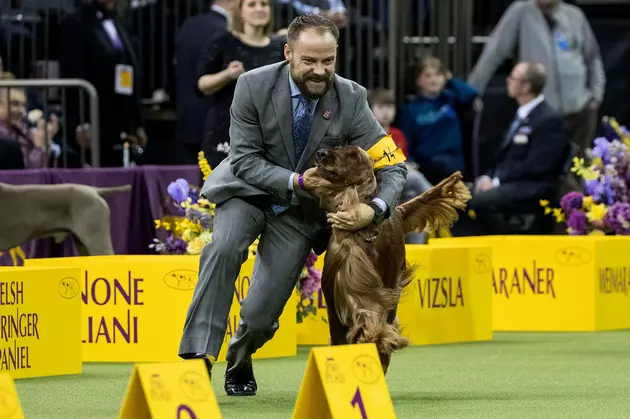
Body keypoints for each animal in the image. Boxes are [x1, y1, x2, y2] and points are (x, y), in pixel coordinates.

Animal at [306, 146, 474, 372]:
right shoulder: (336, 294)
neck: (358, 234)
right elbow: (342, 334)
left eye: (353, 155)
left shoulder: (372, 292)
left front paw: (377, 343)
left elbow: (374, 323)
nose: (322, 153)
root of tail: (397, 210)